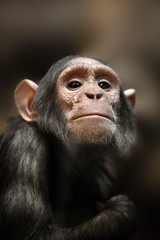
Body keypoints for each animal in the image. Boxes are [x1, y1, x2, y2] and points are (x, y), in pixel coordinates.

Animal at [0, 56, 137, 240]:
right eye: (74, 84)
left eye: (103, 85)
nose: (94, 94)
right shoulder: (22, 145)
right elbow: (34, 233)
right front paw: (120, 213)